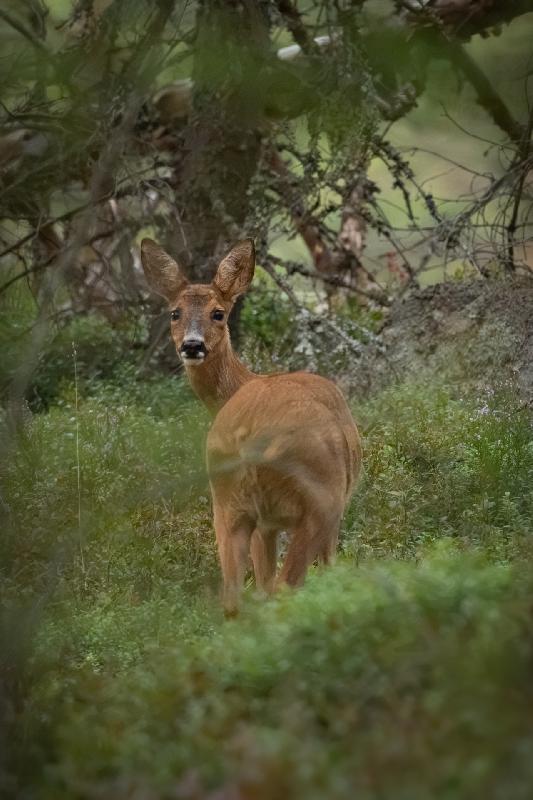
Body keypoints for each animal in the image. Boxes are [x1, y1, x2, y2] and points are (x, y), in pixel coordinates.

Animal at [140, 237, 362, 615]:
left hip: (226, 503)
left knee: (234, 596)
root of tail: (250, 436)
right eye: (175, 313)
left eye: (218, 312)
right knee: (286, 586)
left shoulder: (261, 522)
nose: (192, 345)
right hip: (321, 500)